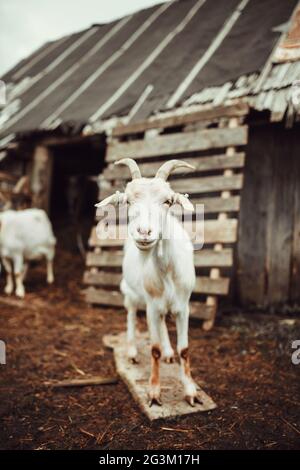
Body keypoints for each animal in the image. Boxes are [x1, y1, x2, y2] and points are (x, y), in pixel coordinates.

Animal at [95, 159, 202, 408]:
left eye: (167, 201)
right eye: (128, 201)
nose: (144, 232)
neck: (167, 269)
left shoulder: (183, 306)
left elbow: (185, 349)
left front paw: (191, 392)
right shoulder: (152, 305)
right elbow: (153, 350)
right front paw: (154, 393)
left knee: (162, 322)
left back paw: (168, 351)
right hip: (130, 292)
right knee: (132, 315)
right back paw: (133, 351)